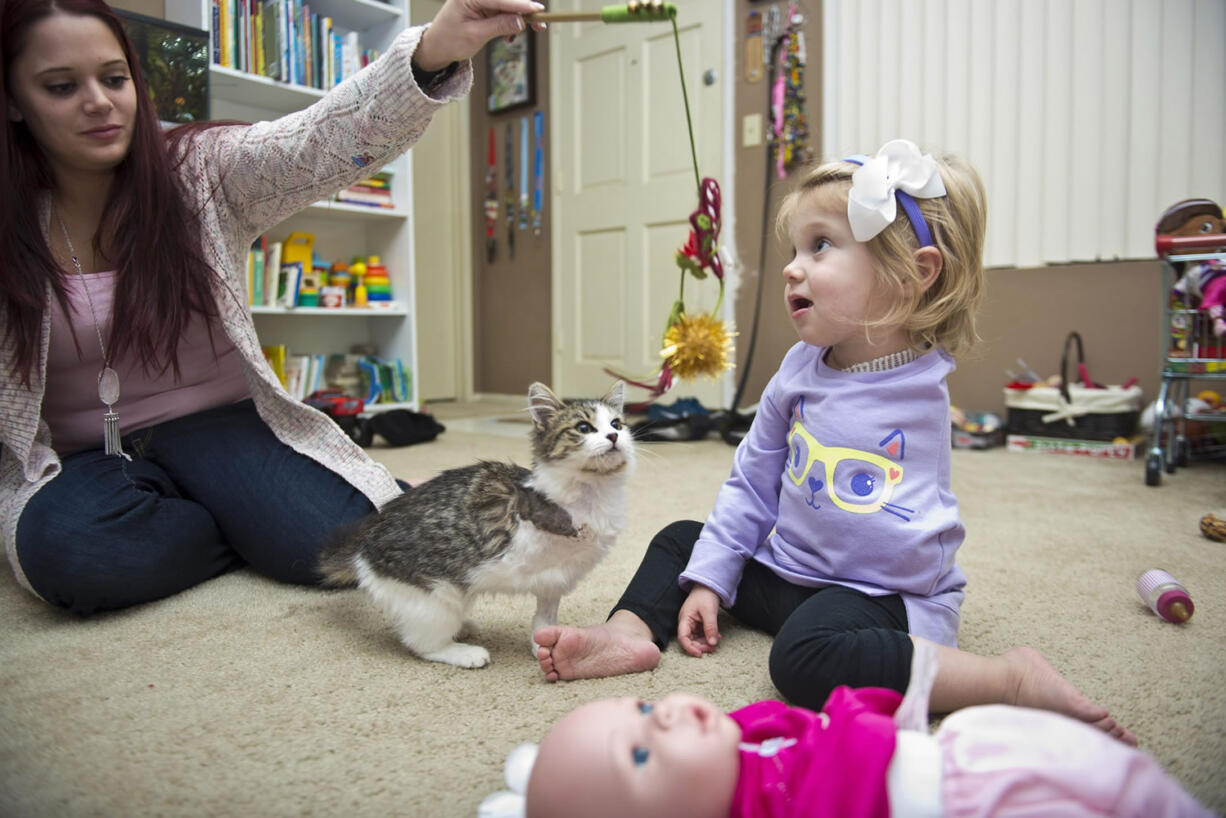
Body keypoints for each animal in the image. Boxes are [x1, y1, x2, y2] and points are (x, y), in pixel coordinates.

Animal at [316, 380, 632, 667]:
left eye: (617, 423)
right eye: (584, 428)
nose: (613, 436)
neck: (595, 492)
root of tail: (363, 544)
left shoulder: (555, 579)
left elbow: (544, 618)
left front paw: (546, 646)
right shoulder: (528, 525)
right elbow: (550, 519)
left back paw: (464, 628)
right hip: (438, 597)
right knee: (422, 644)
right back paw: (464, 652)